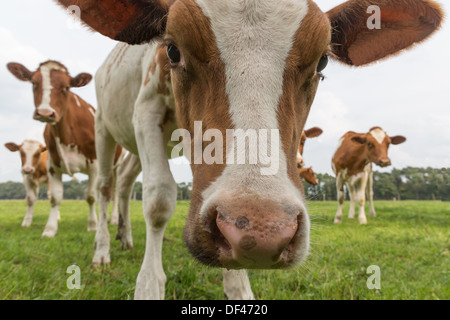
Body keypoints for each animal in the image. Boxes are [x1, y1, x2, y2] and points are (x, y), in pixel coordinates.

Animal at [6, 60, 123, 238]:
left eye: (67, 87)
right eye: (34, 83)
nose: (45, 113)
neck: (68, 134)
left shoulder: (94, 165)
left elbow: (90, 196)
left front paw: (92, 225)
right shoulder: (53, 165)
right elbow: (55, 198)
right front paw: (50, 229)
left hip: (116, 166)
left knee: (114, 193)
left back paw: (114, 219)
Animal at [55, 0, 442, 300]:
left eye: (322, 62)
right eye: (172, 50)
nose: (262, 231)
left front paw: (239, 288)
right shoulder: (146, 110)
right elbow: (158, 199)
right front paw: (149, 285)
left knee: (123, 183)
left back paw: (125, 238)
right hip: (105, 127)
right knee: (105, 187)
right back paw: (103, 249)